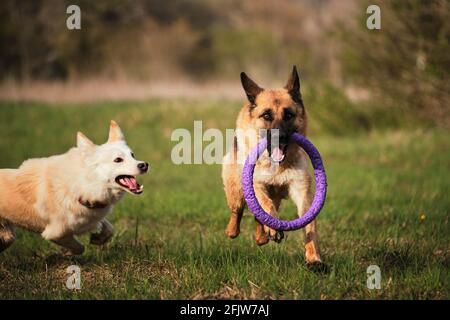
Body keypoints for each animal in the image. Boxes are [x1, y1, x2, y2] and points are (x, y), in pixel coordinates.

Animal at [0, 120, 149, 255]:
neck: (82, 186)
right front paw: (68, 254)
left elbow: (109, 228)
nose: (144, 165)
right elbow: (79, 248)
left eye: (133, 155)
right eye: (118, 160)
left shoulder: (94, 214)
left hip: (8, 234)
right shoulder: (55, 233)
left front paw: (99, 238)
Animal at [221, 66, 320, 264]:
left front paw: (314, 258)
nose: (279, 137)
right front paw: (274, 228)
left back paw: (262, 236)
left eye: (288, 115)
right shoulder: (256, 185)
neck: (277, 166)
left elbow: (309, 225)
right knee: (238, 209)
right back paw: (233, 230)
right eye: (267, 115)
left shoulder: (301, 191)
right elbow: (266, 205)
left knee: (259, 218)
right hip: (236, 188)